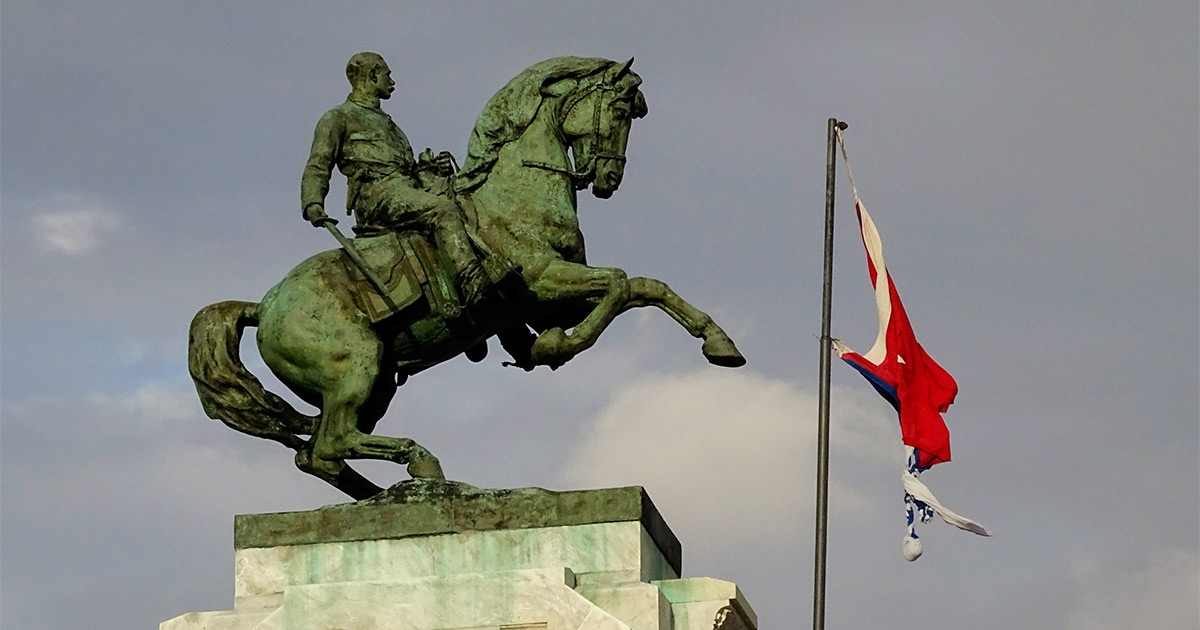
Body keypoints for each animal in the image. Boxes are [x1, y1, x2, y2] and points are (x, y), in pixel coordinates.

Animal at [189, 60, 739, 501]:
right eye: (622, 109)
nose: (608, 180)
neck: (515, 196)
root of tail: (264, 305)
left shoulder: (553, 299)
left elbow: (646, 287)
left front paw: (719, 342)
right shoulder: (543, 283)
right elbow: (621, 285)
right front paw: (557, 346)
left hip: (376, 382)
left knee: (318, 454)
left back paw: (388, 496)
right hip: (355, 366)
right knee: (332, 440)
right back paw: (421, 467)